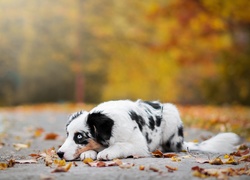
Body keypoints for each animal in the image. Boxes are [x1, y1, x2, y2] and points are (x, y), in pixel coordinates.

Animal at [56, 100, 240, 160]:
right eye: (68, 135)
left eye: (80, 136)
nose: (59, 153)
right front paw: (88, 153)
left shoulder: (139, 144)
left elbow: (121, 145)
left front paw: (107, 152)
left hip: (172, 119)